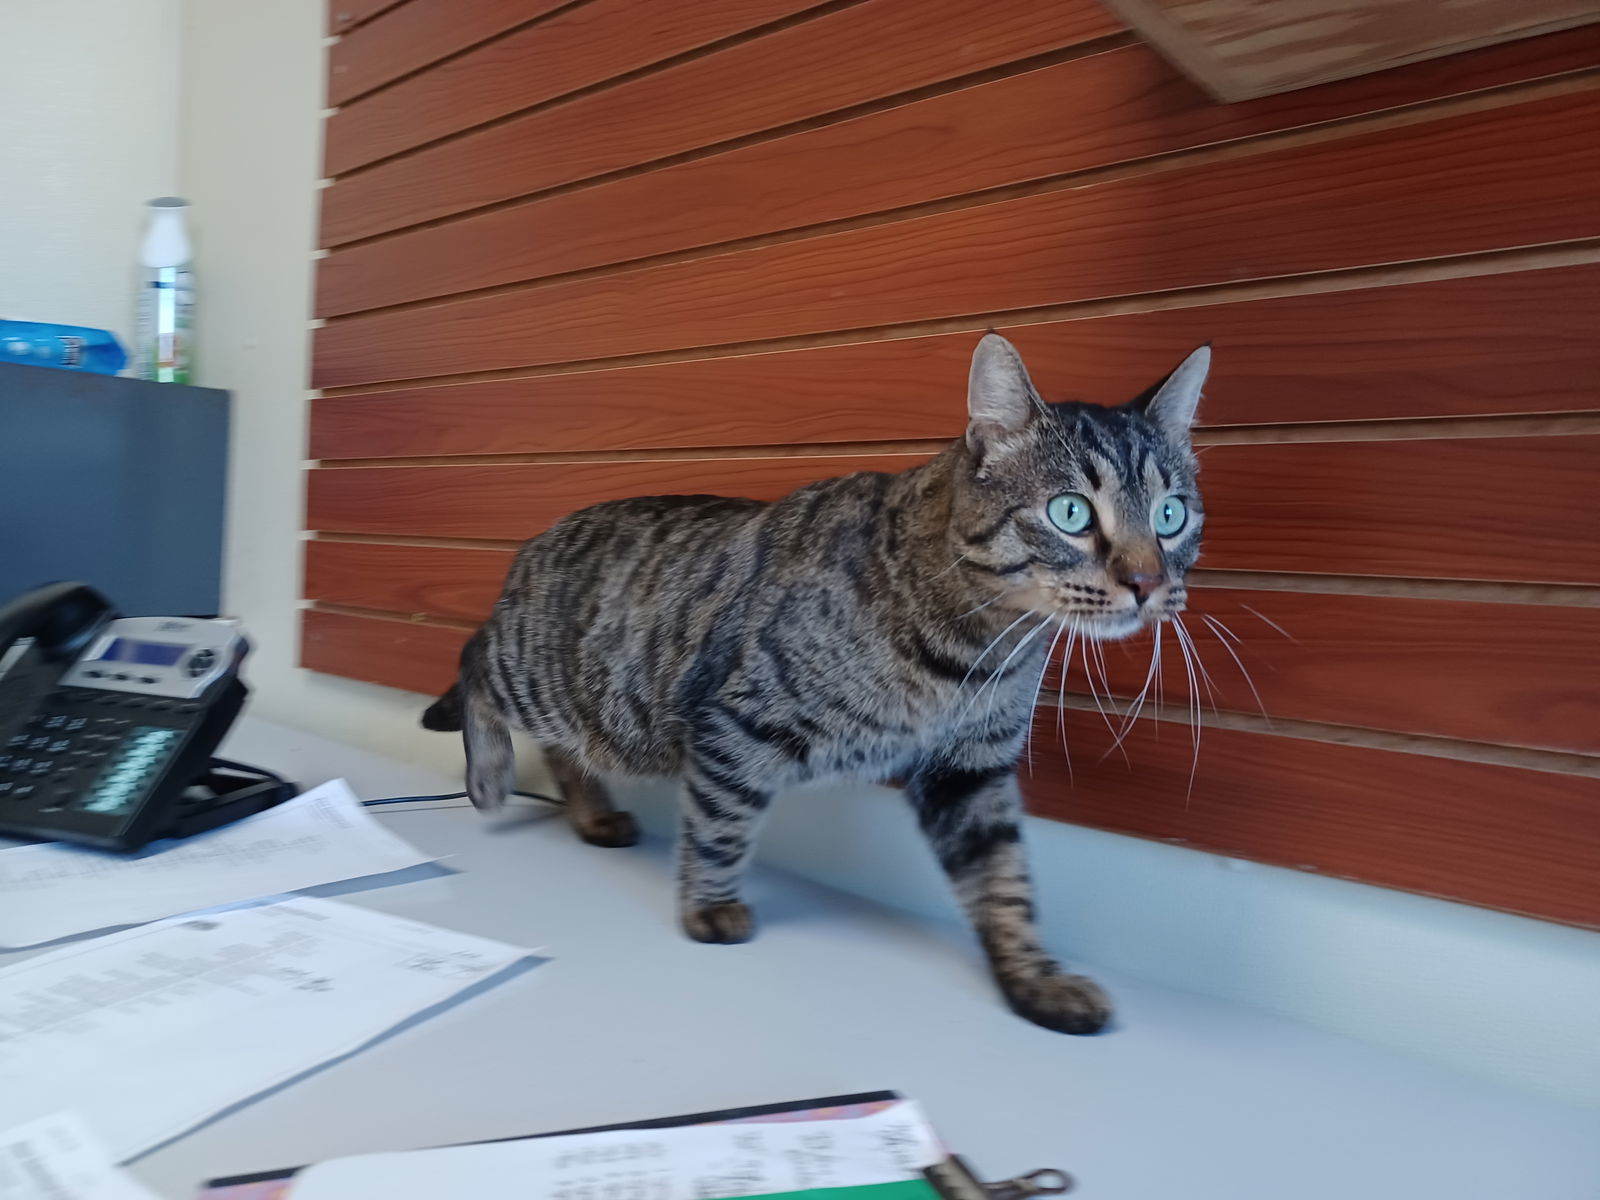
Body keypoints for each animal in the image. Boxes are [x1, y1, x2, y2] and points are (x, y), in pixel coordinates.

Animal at [419, 334, 1203, 1036]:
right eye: (1070, 512)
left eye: (1172, 516)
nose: (1146, 582)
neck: (980, 647)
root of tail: (531, 547)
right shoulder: (738, 723)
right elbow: (721, 826)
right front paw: (708, 907)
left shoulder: (971, 770)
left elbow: (1004, 882)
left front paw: (1032, 978)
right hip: (538, 671)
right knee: (473, 659)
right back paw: (489, 776)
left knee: (561, 747)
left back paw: (591, 815)